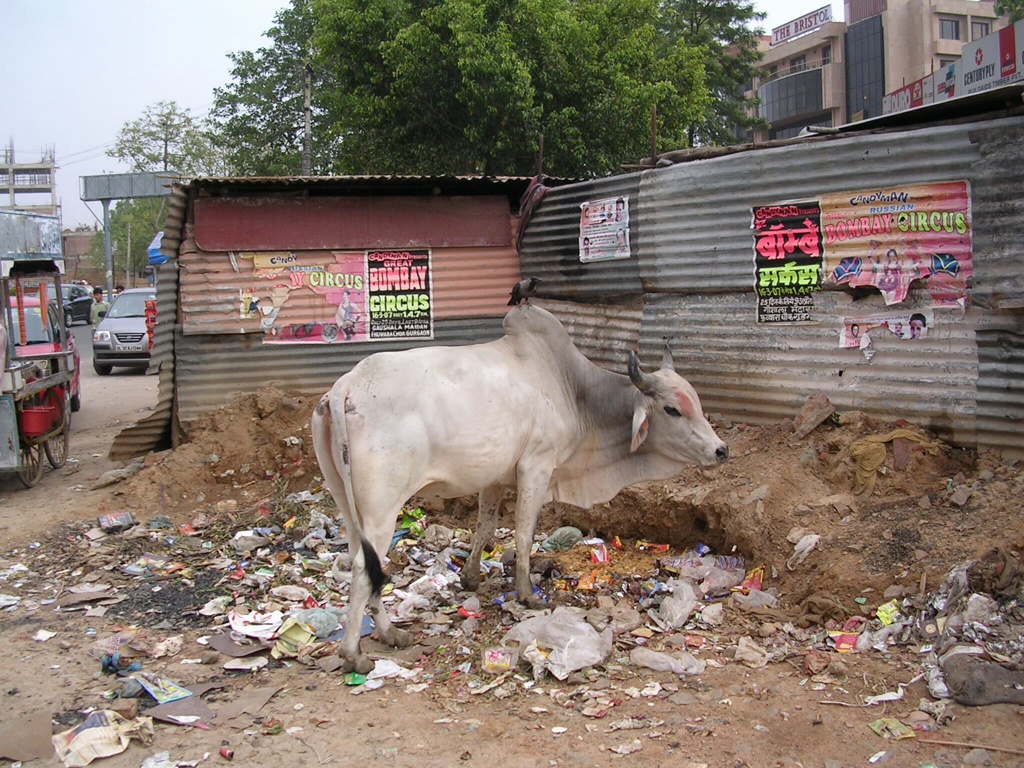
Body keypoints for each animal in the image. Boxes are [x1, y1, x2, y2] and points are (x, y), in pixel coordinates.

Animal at [311, 307, 729, 671]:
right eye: (672, 409)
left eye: (697, 401)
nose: (720, 450)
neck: (575, 392)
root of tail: (345, 386)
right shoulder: (537, 467)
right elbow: (524, 534)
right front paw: (528, 593)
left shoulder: (494, 478)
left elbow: (484, 527)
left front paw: (471, 577)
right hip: (382, 508)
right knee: (365, 567)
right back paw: (356, 652)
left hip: (349, 504)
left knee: (362, 560)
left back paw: (388, 634)